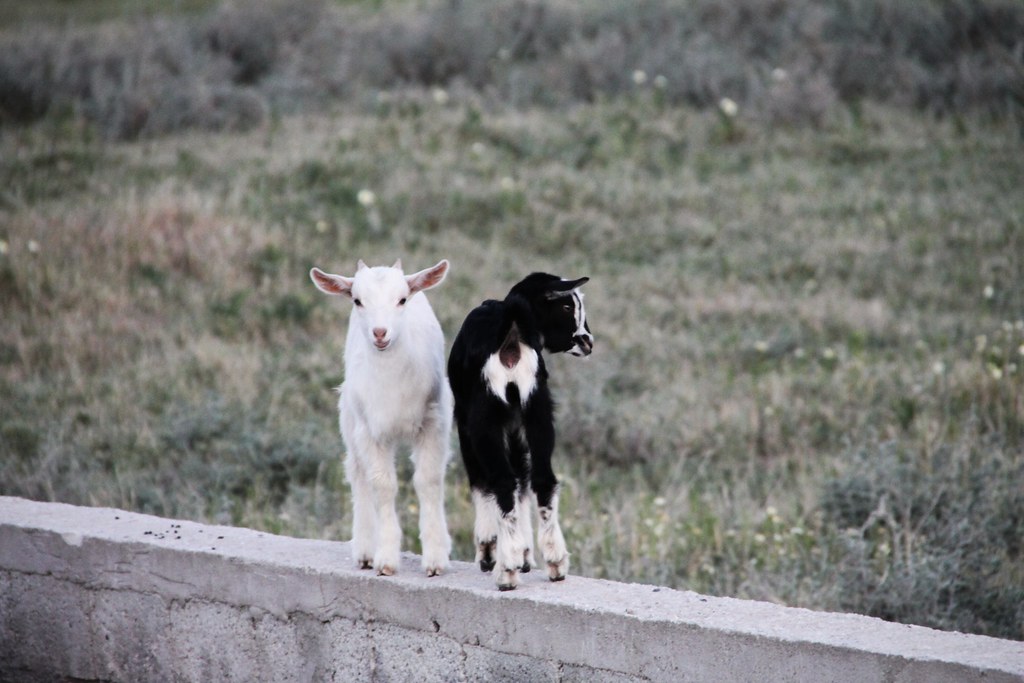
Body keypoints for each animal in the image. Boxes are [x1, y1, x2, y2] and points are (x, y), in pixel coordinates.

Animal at [310, 259, 452, 577]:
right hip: (349, 417)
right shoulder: (370, 432)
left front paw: (436, 559)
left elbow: (428, 481)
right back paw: (364, 550)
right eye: (357, 300)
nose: (380, 333)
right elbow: (383, 486)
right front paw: (386, 559)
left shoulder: (434, 423)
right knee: (358, 473)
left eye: (402, 299)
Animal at [448, 272, 593, 590]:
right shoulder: (518, 422)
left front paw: (490, 552)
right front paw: (526, 555)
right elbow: (523, 481)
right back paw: (555, 562)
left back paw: (506, 569)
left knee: (501, 481)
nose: (588, 342)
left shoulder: (467, 420)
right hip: (538, 409)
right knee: (542, 479)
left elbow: (481, 481)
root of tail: (512, 330)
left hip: (484, 418)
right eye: (567, 306)